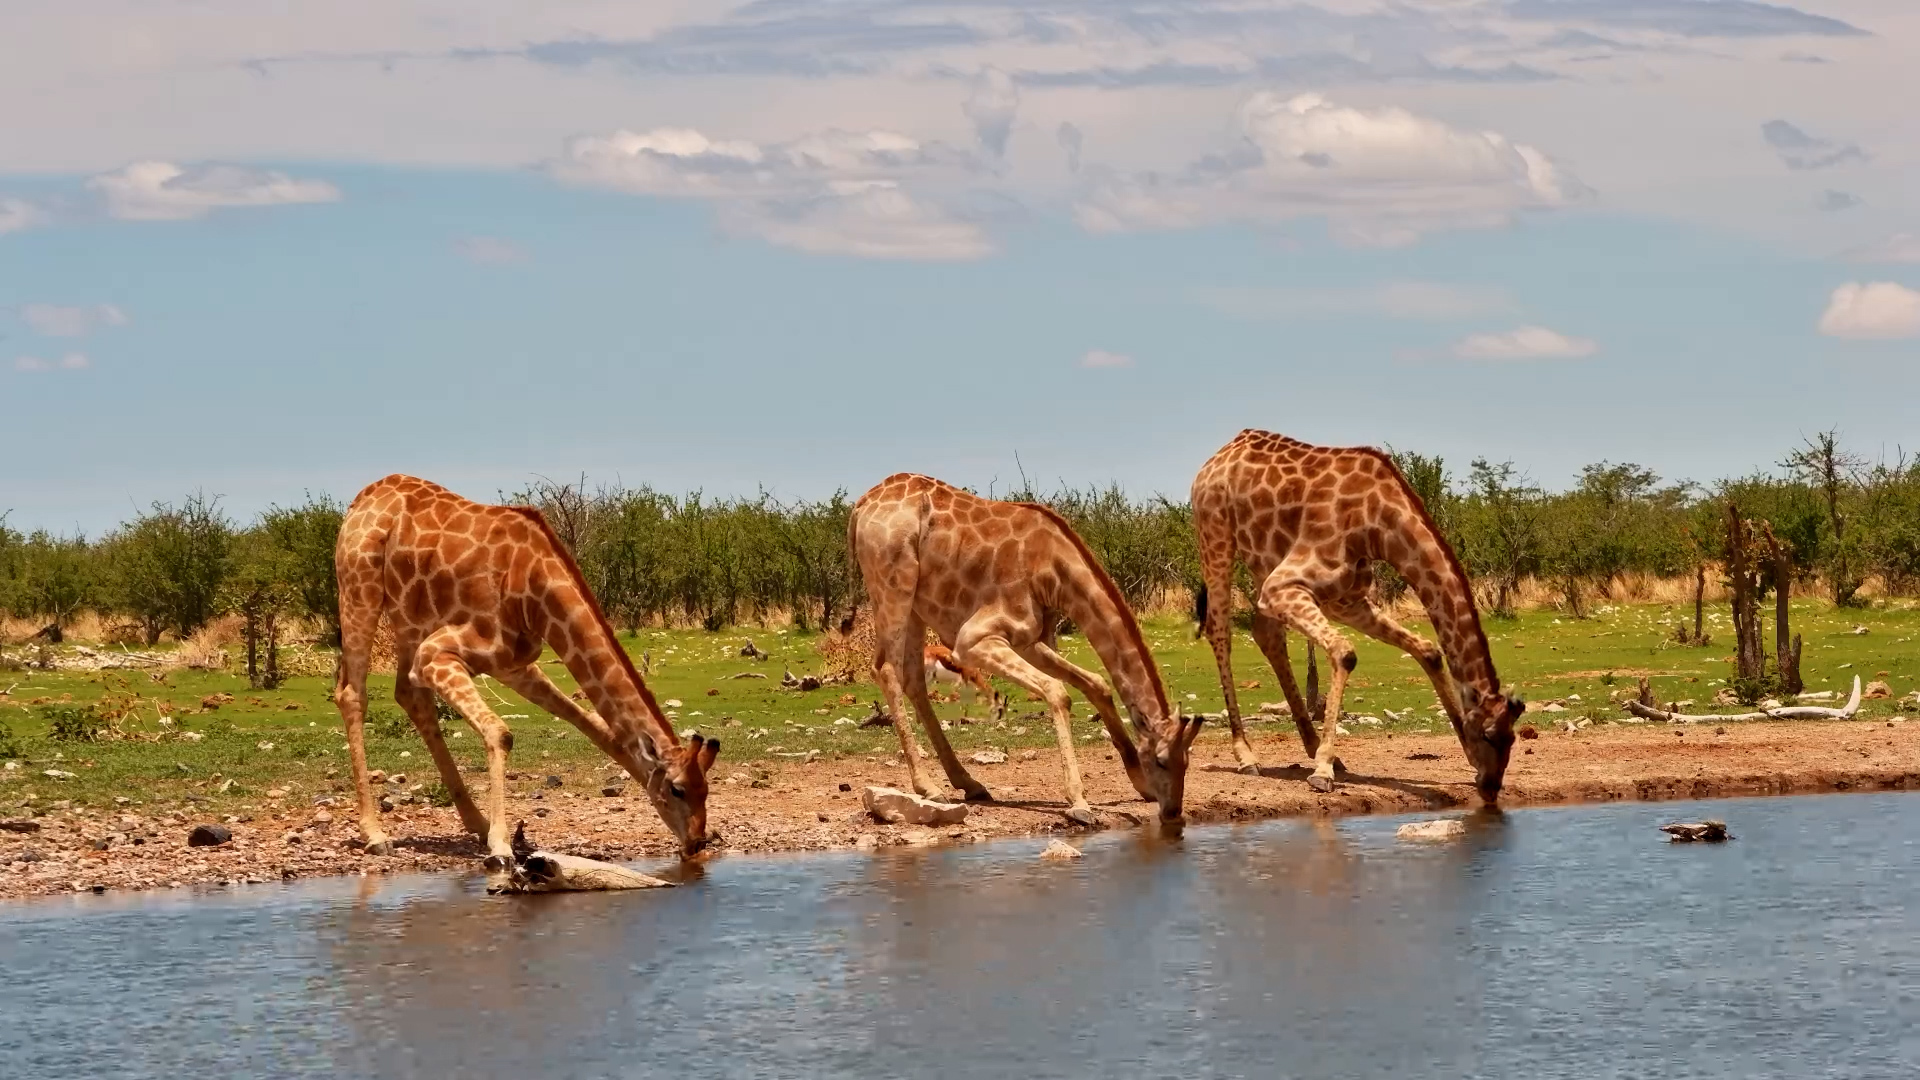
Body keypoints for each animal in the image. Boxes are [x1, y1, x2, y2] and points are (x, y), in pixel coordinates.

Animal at [333, 474, 719, 866]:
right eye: (677, 789)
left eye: (706, 788)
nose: (697, 843)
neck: (534, 591)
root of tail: (367, 495)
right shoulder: (436, 653)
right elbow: (501, 733)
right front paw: (501, 846)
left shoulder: (512, 665)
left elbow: (595, 726)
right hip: (360, 588)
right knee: (351, 693)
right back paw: (375, 834)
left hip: (409, 620)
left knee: (409, 695)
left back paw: (476, 822)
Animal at [849, 473, 1202, 826]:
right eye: (1161, 760)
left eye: (1187, 760)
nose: (1173, 811)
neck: (1053, 570)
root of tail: (859, 508)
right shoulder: (973, 639)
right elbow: (1058, 692)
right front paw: (1079, 802)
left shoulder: (1028, 641)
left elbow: (1097, 683)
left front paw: (1138, 782)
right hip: (894, 584)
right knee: (886, 669)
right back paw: (929, 786)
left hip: (915, 606)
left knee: (912, 679)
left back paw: (969, 784)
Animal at [1190, 430, 1522, 800]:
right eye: (1489, 735)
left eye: (1512, 738)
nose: (1491, 786)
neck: (1379, 525)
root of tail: (1221, 454)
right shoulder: (1285, 586)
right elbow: (1345, 653)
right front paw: (1322, 771)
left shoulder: (1346, 600)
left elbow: (1429, 651)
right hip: (1216, 534)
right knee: (1220, 631)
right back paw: (1247, 755)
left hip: (1263, 562)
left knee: (1267, 635)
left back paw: (1312, 747)